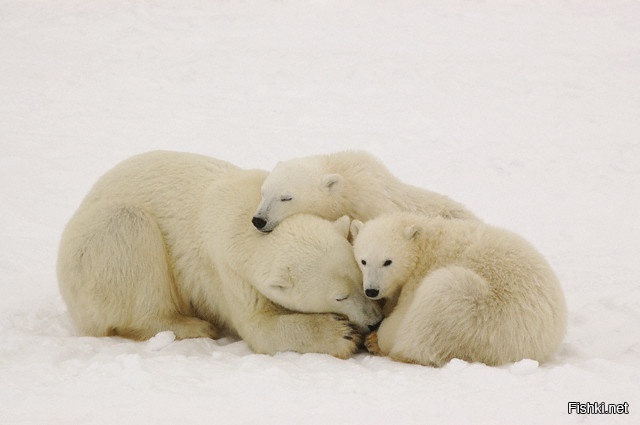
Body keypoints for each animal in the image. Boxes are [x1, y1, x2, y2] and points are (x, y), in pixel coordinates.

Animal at [57, 151, 380, 356]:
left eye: (360, 279)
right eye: (340, 297)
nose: (374, 320)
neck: (242, 214)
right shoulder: (225, 271)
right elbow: (259, 327)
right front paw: (341, 334)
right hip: (93, 253)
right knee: (128, 229)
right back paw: (194, 325)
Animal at [352, 214, 568, 366]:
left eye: (387, 261)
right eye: (363, 261)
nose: (372, 290)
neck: (425, 243)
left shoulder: (420, 274)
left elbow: (403, 313)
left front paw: (378, 336)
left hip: (482, 315)